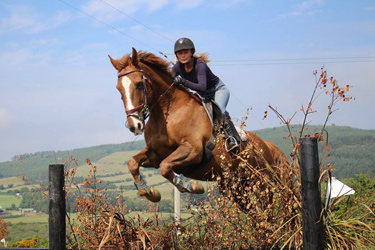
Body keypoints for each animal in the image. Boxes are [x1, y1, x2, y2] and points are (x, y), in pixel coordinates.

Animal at [108, 48, 288, 205]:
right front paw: (149, 192)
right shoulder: (156, 154)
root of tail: (268, 146)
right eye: (118, 89)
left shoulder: (193, 150)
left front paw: (191, 186)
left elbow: (165, 167)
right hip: (235, 186)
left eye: (139, 84)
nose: (134, 125)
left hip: (262, 182)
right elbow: (133, 163)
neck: (169, 112)